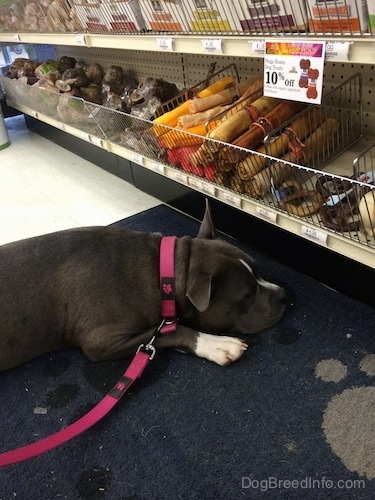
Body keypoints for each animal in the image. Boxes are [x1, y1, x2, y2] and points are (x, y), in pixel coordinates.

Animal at [0, 203, 286, 372]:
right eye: (247, 295)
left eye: (258, 270)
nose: (283, 295)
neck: (164, 271)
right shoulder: (102, 341)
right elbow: (173, 331)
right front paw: (216, 344)